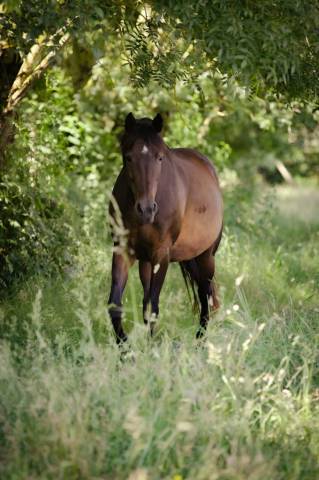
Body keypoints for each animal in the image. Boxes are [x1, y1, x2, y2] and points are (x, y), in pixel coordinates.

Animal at [109, 112, 224, 344]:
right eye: (128, 157)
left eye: (160, 157)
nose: (146, 209)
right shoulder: (122, 251)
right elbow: (117, 305)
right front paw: (125, 347)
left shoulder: (161, 255)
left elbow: (153, 308)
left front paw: (150, 347)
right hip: (146, 262)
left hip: (206, 257)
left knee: (205, 296)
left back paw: (200, 341)